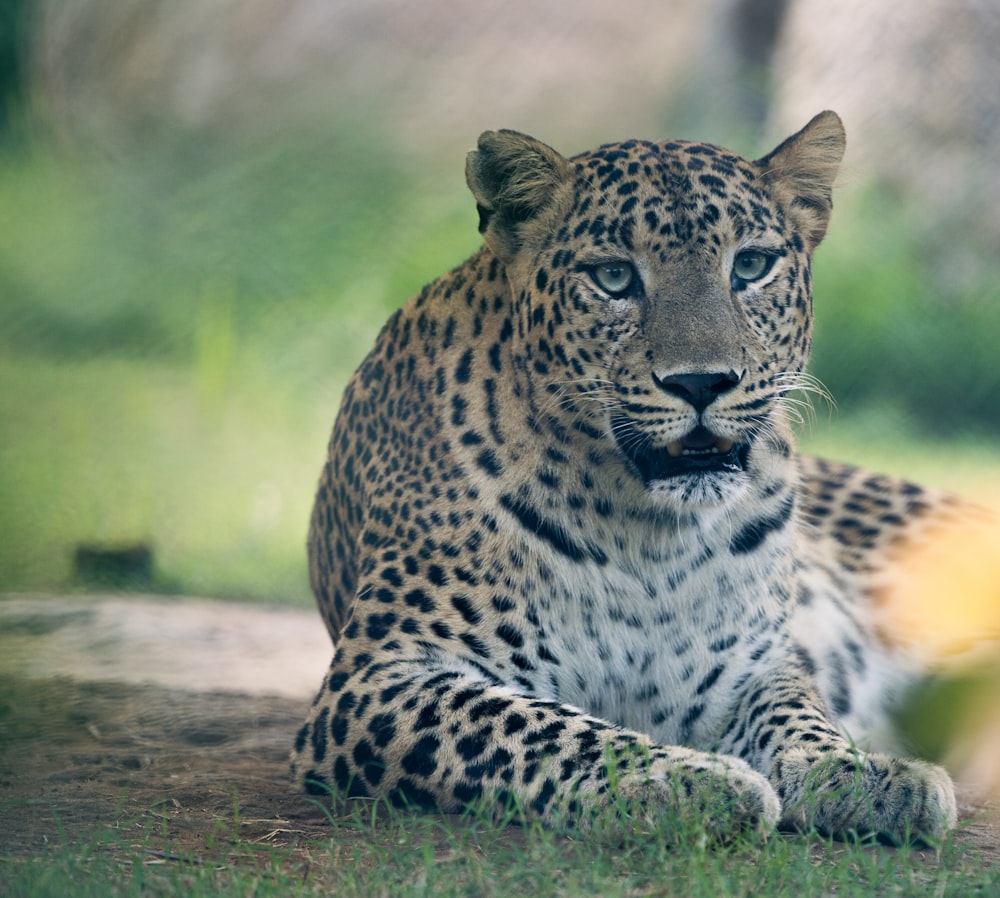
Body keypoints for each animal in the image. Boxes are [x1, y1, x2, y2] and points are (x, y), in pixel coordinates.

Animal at [288, 110, 968, 840]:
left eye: (750, 266)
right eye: (614, 278)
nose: (702, 382)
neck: (646, 531)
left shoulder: (759, 664)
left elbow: (798, 716)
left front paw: (861, 772)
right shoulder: (383, 674)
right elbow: (545, 729)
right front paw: (687, 780)